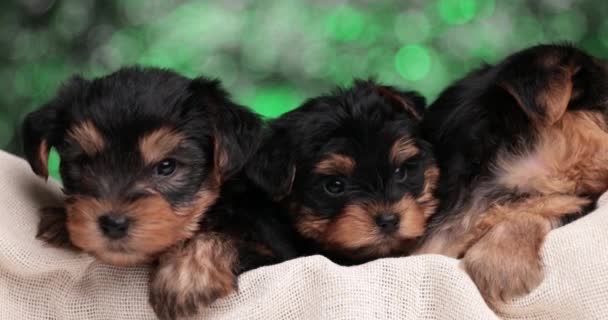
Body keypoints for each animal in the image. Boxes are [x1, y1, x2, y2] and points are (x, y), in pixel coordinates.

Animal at [19, 66, 294, 318]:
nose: (113, 223)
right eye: (84, 163)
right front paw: (60, 221)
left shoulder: (275, 252)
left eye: (166, 166)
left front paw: (185, 276)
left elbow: (225, 239)